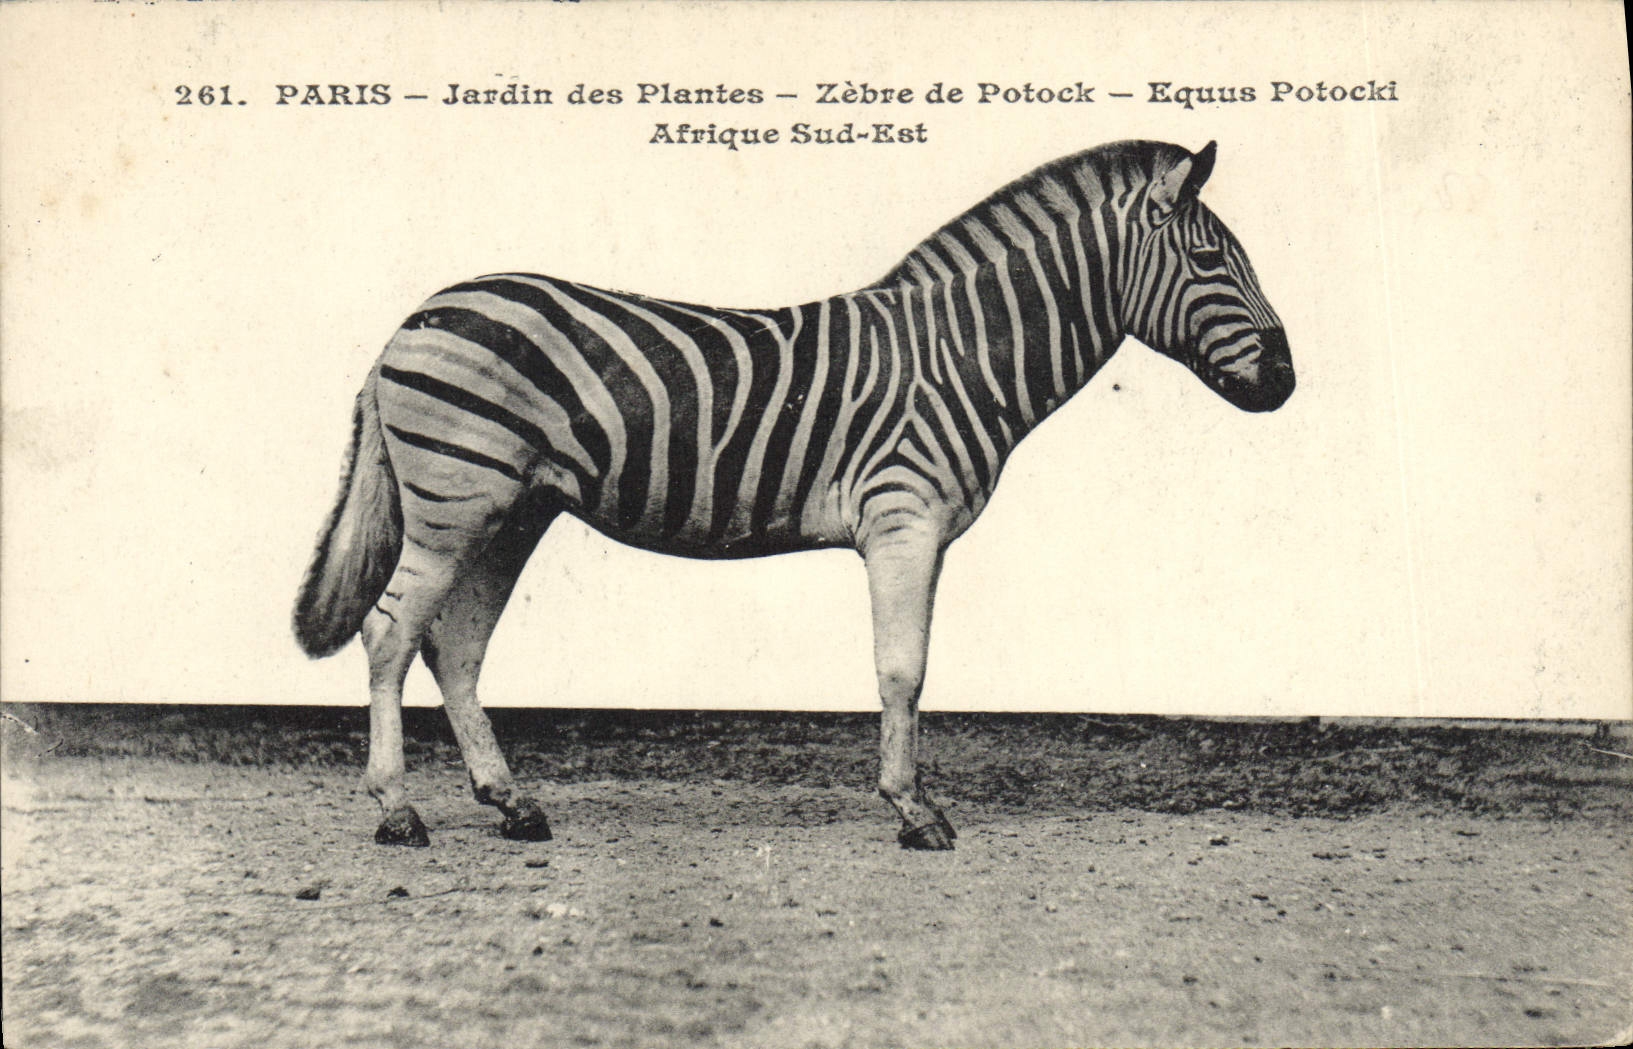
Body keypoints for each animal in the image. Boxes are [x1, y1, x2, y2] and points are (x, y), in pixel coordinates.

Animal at [294, 139, 1293, 851]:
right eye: (1212, 262)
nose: (1286, 382)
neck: (962, 354)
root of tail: (412, 320)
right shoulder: (903, 518)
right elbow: (902, 668)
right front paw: (913, 812)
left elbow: (906, 668)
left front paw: (909, 802)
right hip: (456, 499)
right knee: (390, 634)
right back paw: (396, 812)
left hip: (510, 510)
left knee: (454, 646)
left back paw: (512, 803)